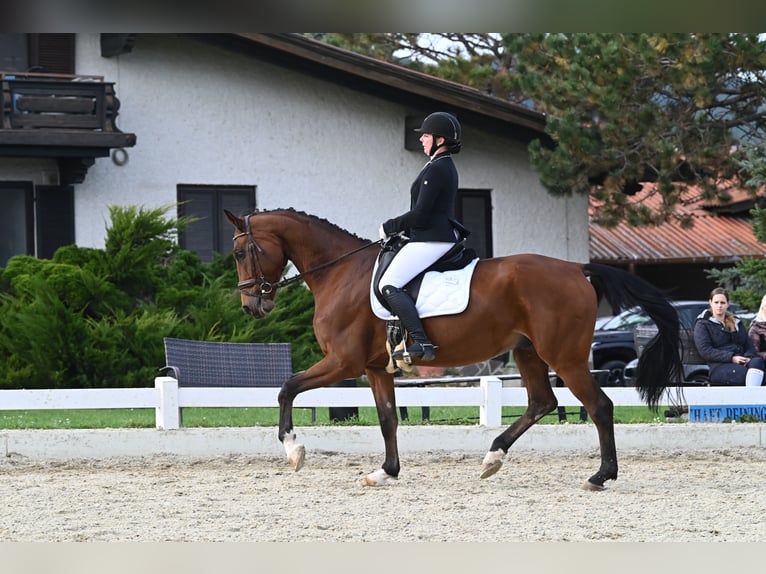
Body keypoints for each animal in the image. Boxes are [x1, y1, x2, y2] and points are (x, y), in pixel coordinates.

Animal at [224, 208, 684, 490]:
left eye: (241, 251)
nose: (251, 306)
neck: (342, 273)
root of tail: (577, 268)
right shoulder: (374, 367)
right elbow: (388, 419)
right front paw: (385, 472)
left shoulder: (343, 362)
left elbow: (287, 387)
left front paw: (294, 450)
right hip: (528, 352)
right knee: (542, 401)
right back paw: (492, 458)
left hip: (564, 356)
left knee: (599, 406)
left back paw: (600, 476)